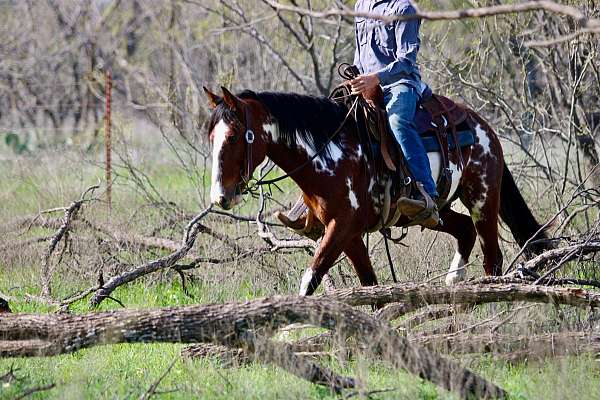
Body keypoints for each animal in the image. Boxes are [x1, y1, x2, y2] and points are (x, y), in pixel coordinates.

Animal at [203, 86, 548, 296]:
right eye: (211, 137)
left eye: (233, 136)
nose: (221, 196)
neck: (332, 153)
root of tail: (481, 125)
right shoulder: (349, 233)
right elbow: (368, 282)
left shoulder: (341, 227)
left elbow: (310, 278)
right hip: (438, 211)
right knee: (464, 231)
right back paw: (454, 280)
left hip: (482, 200)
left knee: (492, 258)